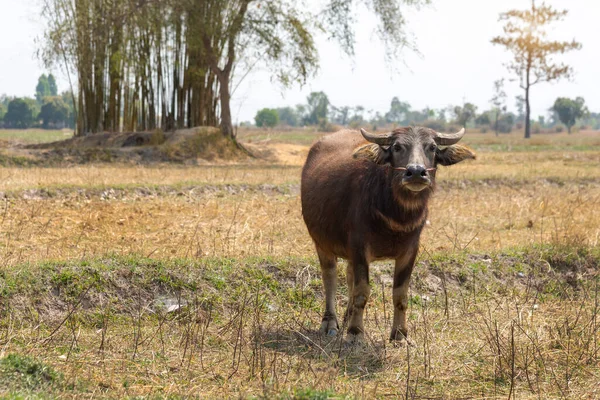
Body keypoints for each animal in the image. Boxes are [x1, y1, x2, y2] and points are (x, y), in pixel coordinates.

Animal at [302, 126, 476, 342]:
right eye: (397, 147)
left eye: (433, 147)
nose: (416, 172)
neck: (395, 216)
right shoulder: (359, 247)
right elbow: (362, 291)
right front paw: (355, 333)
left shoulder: (409, 251)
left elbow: (400, 294)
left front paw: (400, 334)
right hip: (321, 243)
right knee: (330, 278)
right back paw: (330, 323)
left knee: (349, 276)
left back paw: (347, 317)